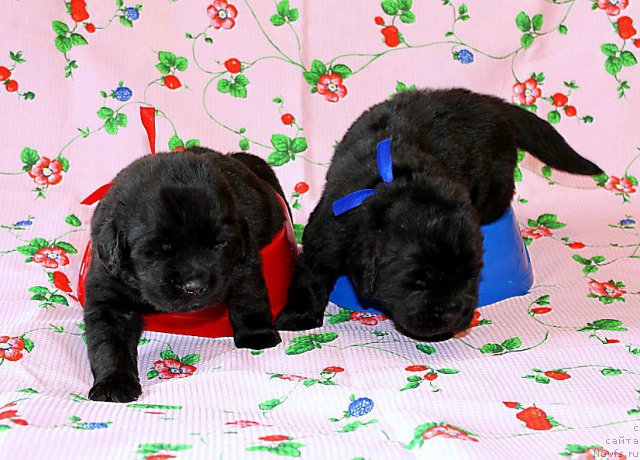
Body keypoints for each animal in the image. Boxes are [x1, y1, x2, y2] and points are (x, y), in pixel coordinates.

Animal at [86, 148, 286, 402]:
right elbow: (109, 343)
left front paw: (257, 333)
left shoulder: (244, 262)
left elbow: (249, 299)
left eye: (218, 243)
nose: (195, 286)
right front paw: (114, 382)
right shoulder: (108, 294)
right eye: (158, 250)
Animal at [276, 89, 604, 342]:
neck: (391, 182)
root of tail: (490, 102)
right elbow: (311, 275)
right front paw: (298, 316)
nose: (453, 314)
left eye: (471, 275)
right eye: (418, 281)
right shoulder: (327, 233)